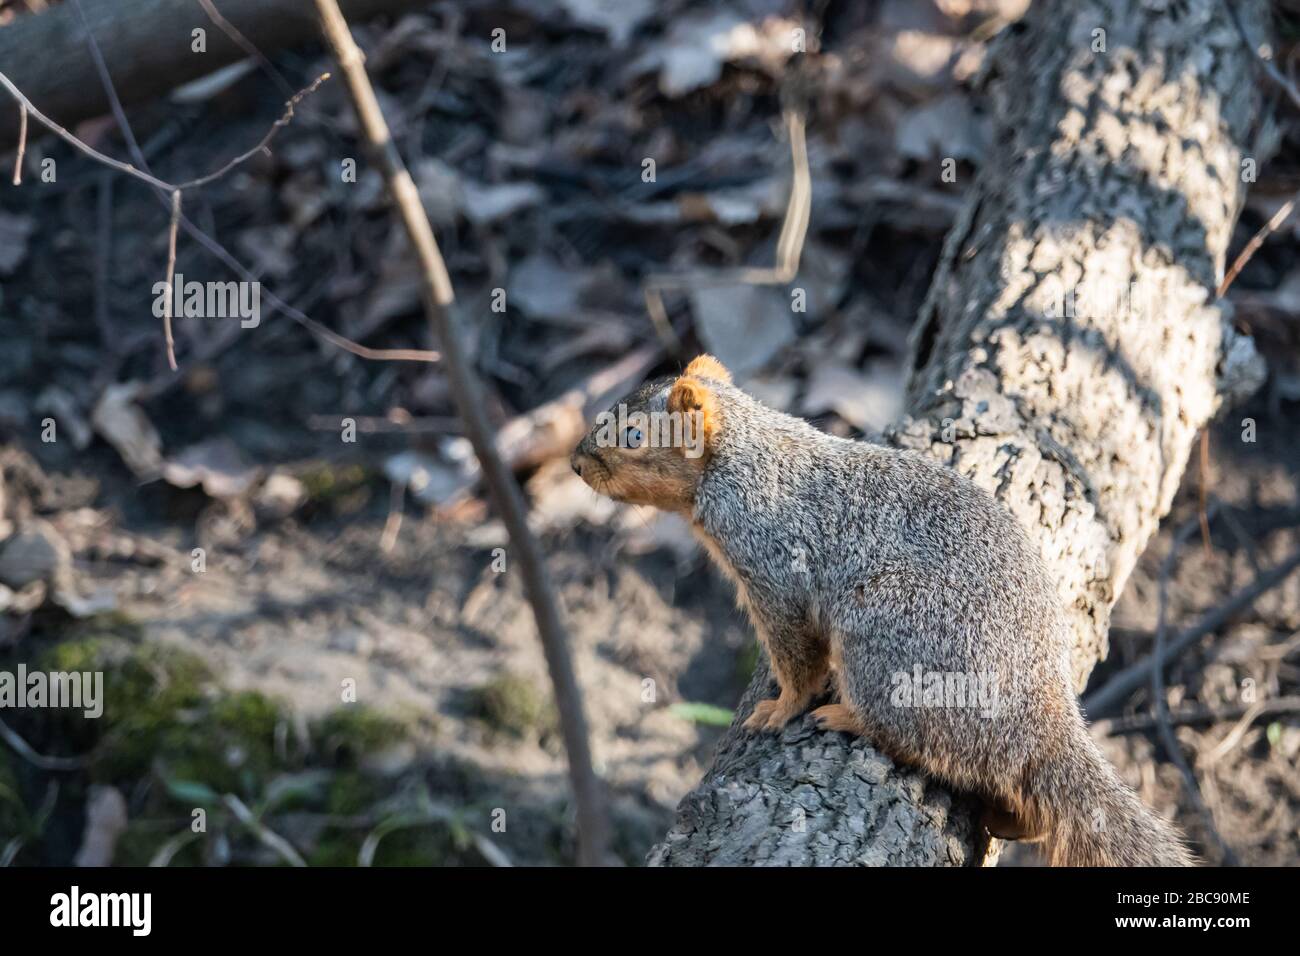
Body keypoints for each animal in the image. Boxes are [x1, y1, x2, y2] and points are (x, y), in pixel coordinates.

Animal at [571, 354, 1194, 867]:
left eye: (633, 434)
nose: (576, 464)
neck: (743, 462)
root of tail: (1037, 707)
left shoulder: (774, 574)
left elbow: (797, 657)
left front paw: (780, 709)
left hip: (884, 638)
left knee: (918, 738)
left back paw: (843, 716)